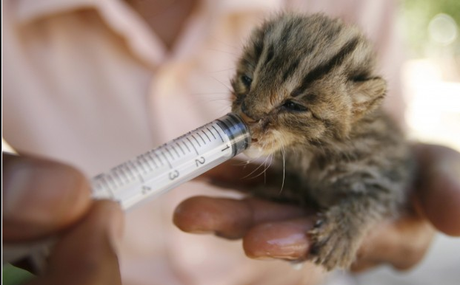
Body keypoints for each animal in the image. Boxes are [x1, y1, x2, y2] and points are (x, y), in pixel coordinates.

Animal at [230, 13, 414, 270]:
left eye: (294, 106)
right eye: (247, 79)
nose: (246, 115)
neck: (311, 151)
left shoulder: (391, 174)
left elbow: (373, 197)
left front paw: (341, 233)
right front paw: (287, 189)